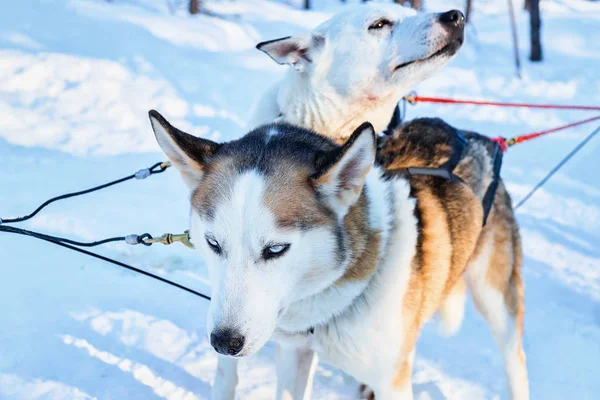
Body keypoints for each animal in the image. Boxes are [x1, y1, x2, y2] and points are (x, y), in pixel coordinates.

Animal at [150, 110, 528, 400]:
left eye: (276, 249)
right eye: (213, 243)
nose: (224, 342)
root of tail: (480, 139)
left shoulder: (393, 382)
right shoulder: (294, 353)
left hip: (498, 302)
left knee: (516, 361)